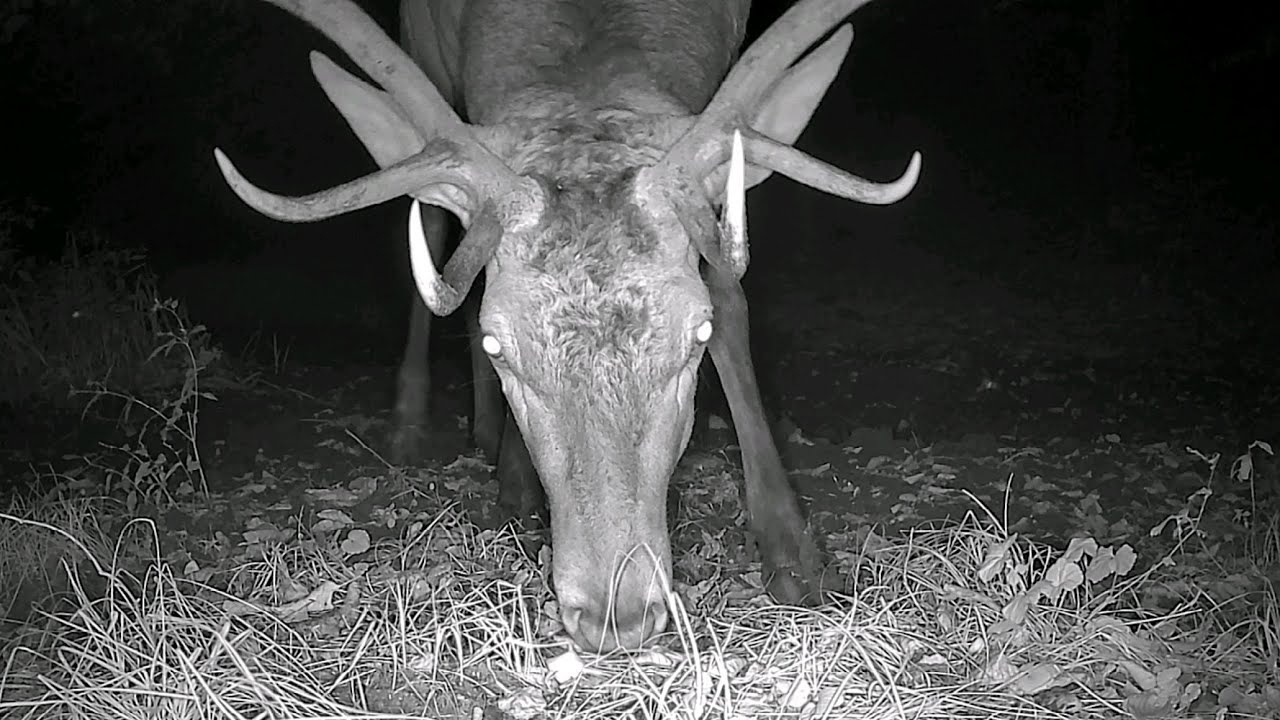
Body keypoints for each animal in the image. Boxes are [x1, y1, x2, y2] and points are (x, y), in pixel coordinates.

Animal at [214, 0, 920, 652]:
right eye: (498, 344)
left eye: (697, 334)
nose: (618, 614)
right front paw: (513, 482)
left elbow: (729, 285)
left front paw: (793, 554)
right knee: (433, 217)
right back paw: (426, 428)